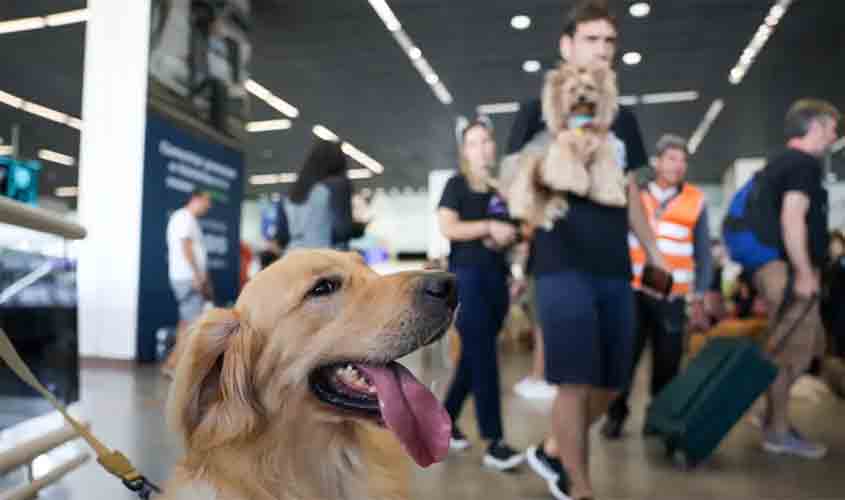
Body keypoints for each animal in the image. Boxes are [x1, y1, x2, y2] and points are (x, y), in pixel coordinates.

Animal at [504, 60, 624, 229]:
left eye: (590, 87)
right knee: (521, 188)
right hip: (528, 165)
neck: (581, 123)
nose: (582, 97)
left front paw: (611, 196)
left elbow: (605, 174)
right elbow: (569, 169)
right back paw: (520, 209)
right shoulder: (564, 147)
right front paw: (576, 184)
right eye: (572, 90)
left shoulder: (601, 152)